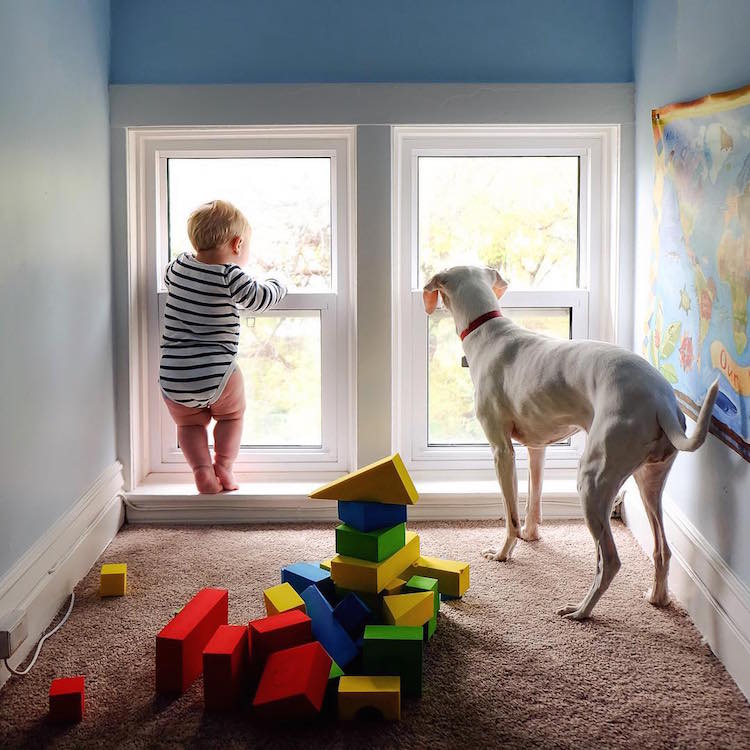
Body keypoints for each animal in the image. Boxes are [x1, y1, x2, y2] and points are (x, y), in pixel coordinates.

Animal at [426, 268, 720, 620]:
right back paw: (656, 598)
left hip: (592, 481)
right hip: (649, 480)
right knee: (662, 549)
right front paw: (532, 537)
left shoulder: (501, 451)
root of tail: (661, 399)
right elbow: (533, 500)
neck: (488, 331)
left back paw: (581, 611)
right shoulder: (537, 448)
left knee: (609, 561)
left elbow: (511, 518)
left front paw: (503, 553)